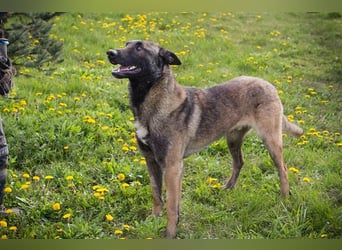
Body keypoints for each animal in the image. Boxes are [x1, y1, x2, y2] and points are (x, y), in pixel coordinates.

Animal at [106, 39, 302, 238]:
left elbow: (171, 205)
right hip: (233, 139)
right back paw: (228, 188)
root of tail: (268, 84)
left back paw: (284, 198)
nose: (110, 53)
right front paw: (154, 218)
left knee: (283, 168)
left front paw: (170, 233)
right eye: (126, 44)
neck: (153, 103)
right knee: (239, 162)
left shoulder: (172, 167)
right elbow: (156, 195)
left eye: (139, 47)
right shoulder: (151, 161)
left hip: (271, 140)